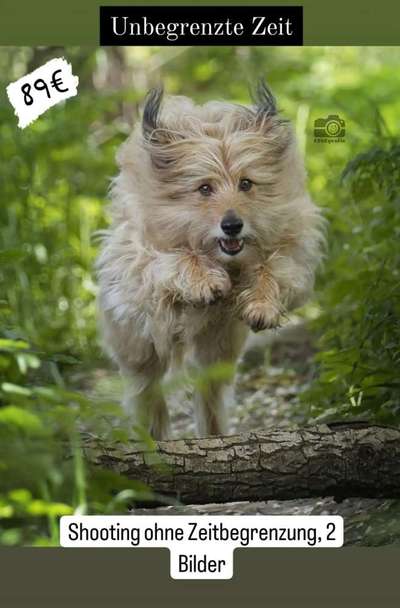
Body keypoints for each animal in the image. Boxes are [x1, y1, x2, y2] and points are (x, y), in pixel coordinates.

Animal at [97, 82, 324, 442]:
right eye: (204, 188)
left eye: (246, 183)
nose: (232, 225)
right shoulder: (134, 264)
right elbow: (165, 263)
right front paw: (204, 281)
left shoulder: (292, 246)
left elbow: (274, 268)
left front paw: (261, 305)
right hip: (138, 350)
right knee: (148, 393)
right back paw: (154, 435)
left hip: (218, 349)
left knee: (209, 393)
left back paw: (213, 434)